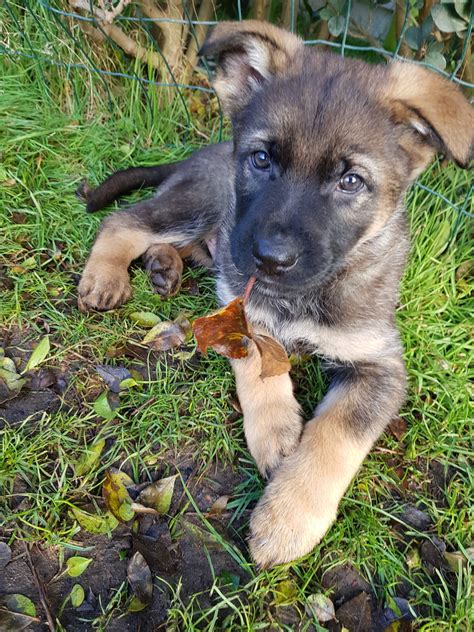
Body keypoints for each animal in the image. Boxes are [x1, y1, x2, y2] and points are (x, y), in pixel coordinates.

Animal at [78, 21, 474, 568]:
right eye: (263, 158)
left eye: (351, 181)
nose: (269, 259)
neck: (305, 295)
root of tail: (199, 155)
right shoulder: (241, 308)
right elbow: (260, 370)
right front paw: (278, 436)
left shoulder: (380, 367)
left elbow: (335, 434)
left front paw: (288, 518)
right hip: (204, 204)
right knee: (125, 221)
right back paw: (107, 276)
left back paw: (164, 267)